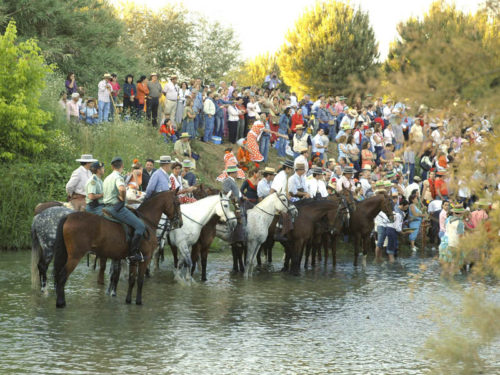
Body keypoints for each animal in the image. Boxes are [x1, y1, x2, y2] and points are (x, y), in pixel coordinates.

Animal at [53, 191, 182, 308]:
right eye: (177, 203)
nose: (179, 223)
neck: (147, 222)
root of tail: (68, 216)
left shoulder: (134, 259)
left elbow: (132, 280)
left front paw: (128, 300)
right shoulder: (145, 258)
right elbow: (140, 281)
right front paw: (139, 301)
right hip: (75, 256)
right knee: (63, 276)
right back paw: (61, 303)